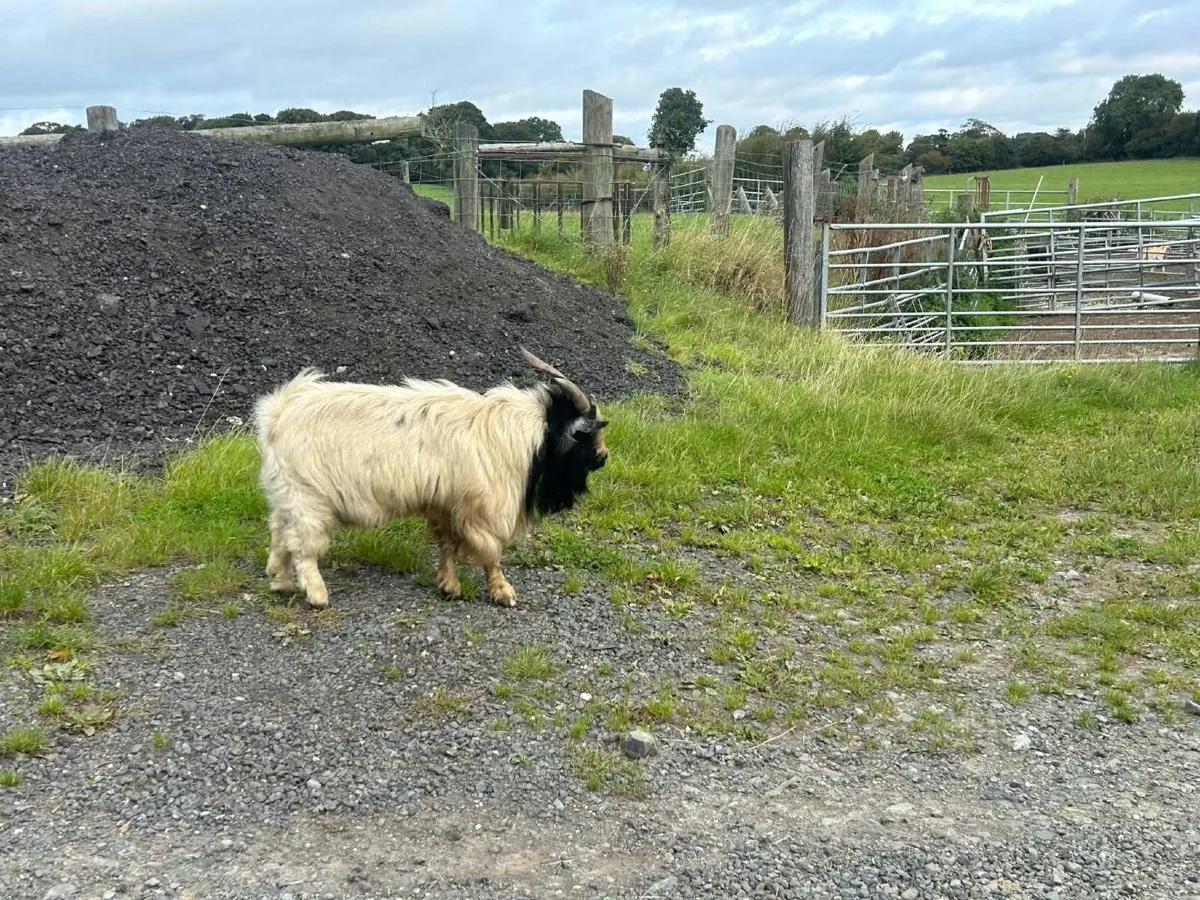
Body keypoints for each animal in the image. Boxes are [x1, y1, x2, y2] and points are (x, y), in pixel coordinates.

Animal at [252, 348, 609, 609]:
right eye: (588, 437)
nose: (604, 457)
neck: (525, 436)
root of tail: (276, 415)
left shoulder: (446, 502)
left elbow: (447, 543)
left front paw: (449, 585)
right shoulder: (485, 509)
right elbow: (491, 553)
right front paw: (503, 592)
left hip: (286, 492)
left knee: (280, 534)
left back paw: (280, 581)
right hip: (309, 497)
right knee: (302, 547)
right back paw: (317, 596)